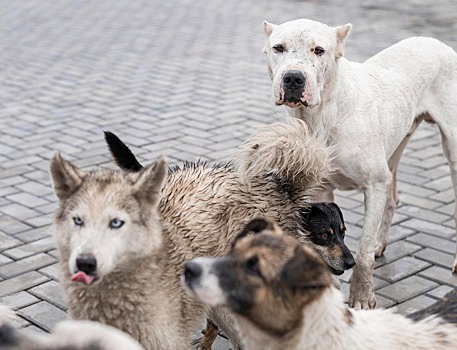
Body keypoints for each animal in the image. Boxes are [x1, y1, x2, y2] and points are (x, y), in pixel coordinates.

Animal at [262, 18, 456, 308]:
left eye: (319, 50)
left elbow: (362, 253)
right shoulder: (321, 190)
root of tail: (438, 43)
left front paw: (362, 297)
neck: (322, 116)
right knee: (392, 198)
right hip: (395, 147)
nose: (294, 77)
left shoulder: (375, 185)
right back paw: (380, 243)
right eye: (278, 48)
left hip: (452, 150)